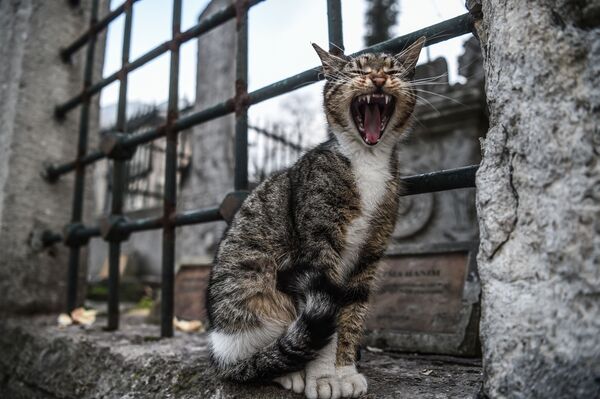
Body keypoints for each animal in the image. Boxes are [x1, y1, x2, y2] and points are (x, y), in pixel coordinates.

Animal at [206, 36, 426, 398]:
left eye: (393, 70)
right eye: (357, 71)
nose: (378, 78)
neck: (367, 161)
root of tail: (218, 356)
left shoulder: (368, 259)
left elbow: (350, 317)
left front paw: (345, 371)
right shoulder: (318, 253)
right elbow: (326, 324)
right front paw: (323, 378)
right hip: (253, 292)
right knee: (260, 357)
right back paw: (289, 372)